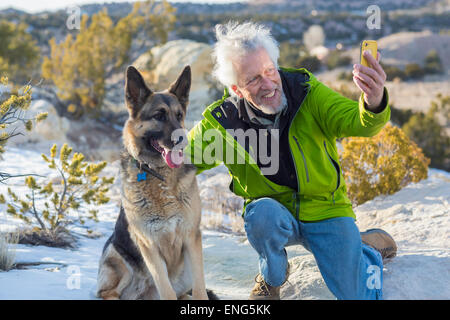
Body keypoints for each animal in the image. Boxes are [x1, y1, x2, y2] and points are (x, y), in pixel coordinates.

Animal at [96, 65, 208, 300]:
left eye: (179, 115)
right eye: (159, 116)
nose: (182, 139)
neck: (158, 174)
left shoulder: (191, 238)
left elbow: (200, 288)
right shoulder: (149, 245)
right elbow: (166, 290)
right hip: (118, 257)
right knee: (108, 292)